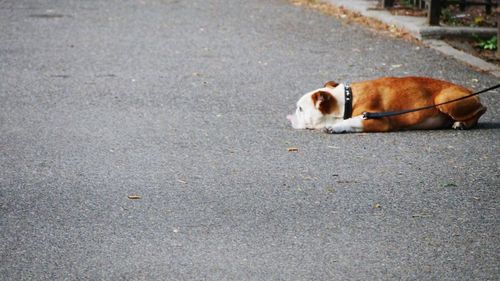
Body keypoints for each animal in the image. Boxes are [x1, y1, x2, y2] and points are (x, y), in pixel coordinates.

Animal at [288, 76, 486, 133]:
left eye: (300, 109)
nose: (289, 116)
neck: (346, 100)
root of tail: (470, 91)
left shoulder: (376, 120)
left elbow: (350, 121)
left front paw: (334, 127)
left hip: (445, 99)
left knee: (480, 112)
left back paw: (461, 123)